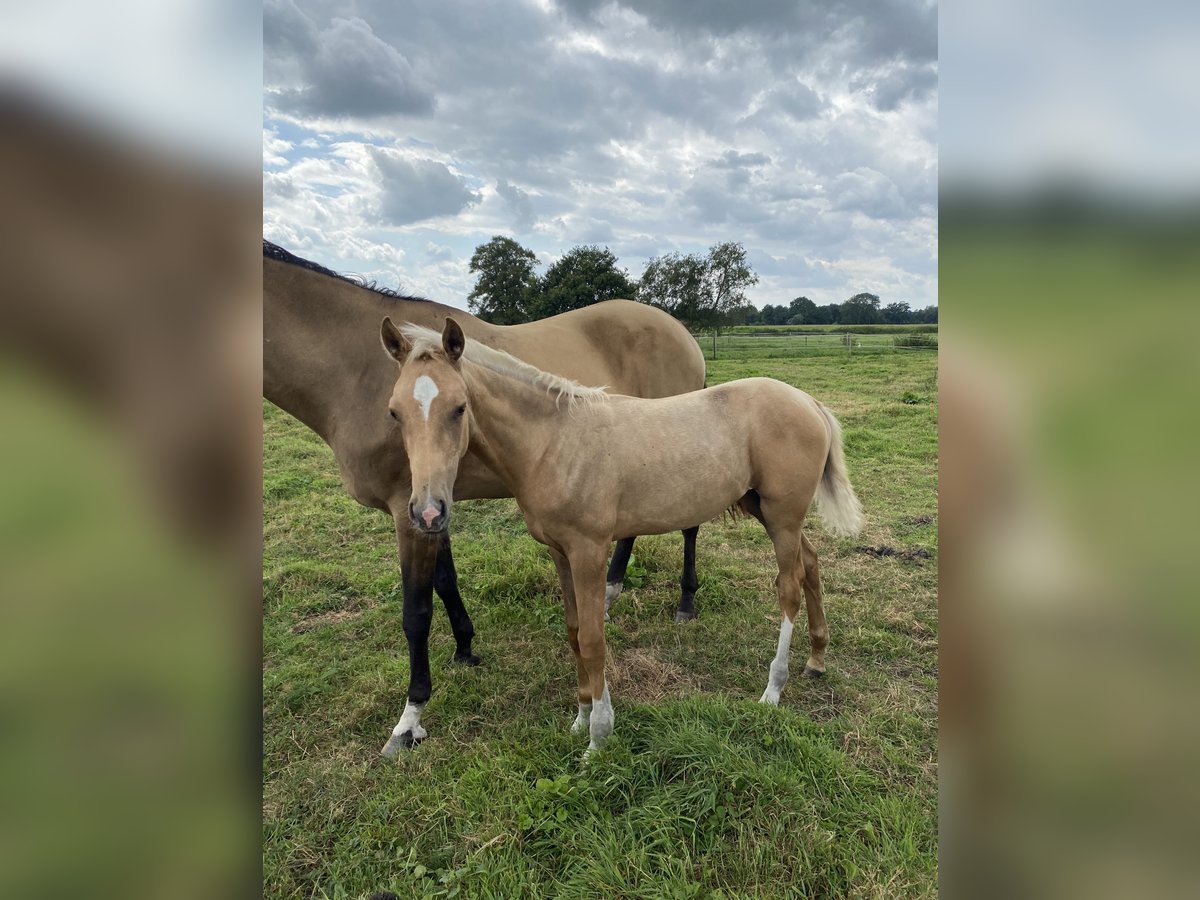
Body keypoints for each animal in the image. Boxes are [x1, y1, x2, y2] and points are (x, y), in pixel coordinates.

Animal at [262, 243, 705, 748]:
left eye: (459, 409)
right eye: (393, 413)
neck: (352, 367)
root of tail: (681, 332)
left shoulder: (406, 510)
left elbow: (415, 612)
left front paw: (410, 718)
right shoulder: (428, 507)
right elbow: (445, 580)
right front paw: (465, 649)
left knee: (690, 525)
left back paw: (685, 602)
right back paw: (611, 591)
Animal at [379, 321, 859, 758]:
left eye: (459, 408)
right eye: (395, 412)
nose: (427, 512)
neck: (554, 442)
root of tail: (808, 401)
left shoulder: (589, 551)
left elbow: (594, 639)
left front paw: (599, 735)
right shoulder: (561, 553)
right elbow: (574, 631)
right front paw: (580, 718)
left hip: (781, 516)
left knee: (789, 588)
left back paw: (773, 690)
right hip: (765, 509)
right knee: (811, 562)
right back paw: (816, 659)